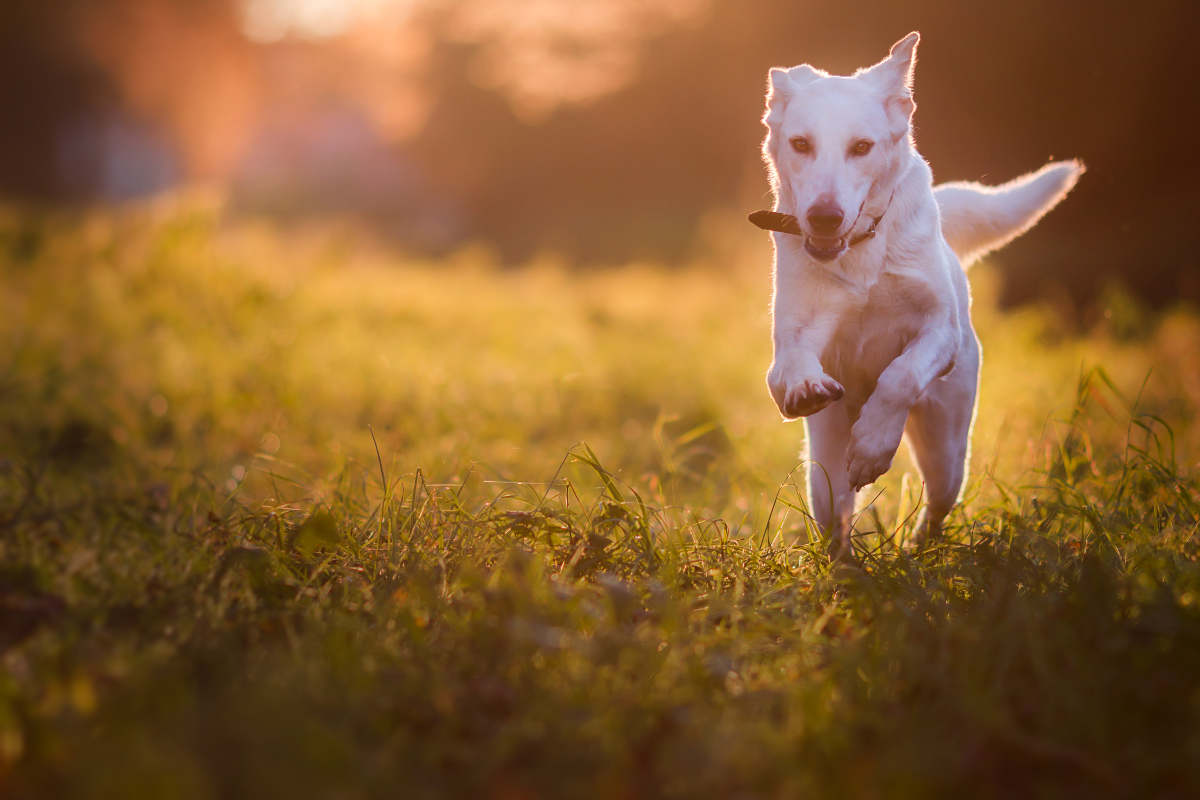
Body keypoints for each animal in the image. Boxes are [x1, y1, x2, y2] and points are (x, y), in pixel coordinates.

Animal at [753, 32, 1084, 556]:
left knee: (937, 504)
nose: (824, 217)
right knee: (838, 518)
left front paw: (873, 444)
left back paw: (917, 550)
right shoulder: (794, 336)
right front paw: (805, 388)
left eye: (862, 147)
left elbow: (899, 376)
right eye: (801, 144)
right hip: (823, 471)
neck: (864, 250)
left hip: (947, 450)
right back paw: (845, 566)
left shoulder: (940, 332)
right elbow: (789, 369)